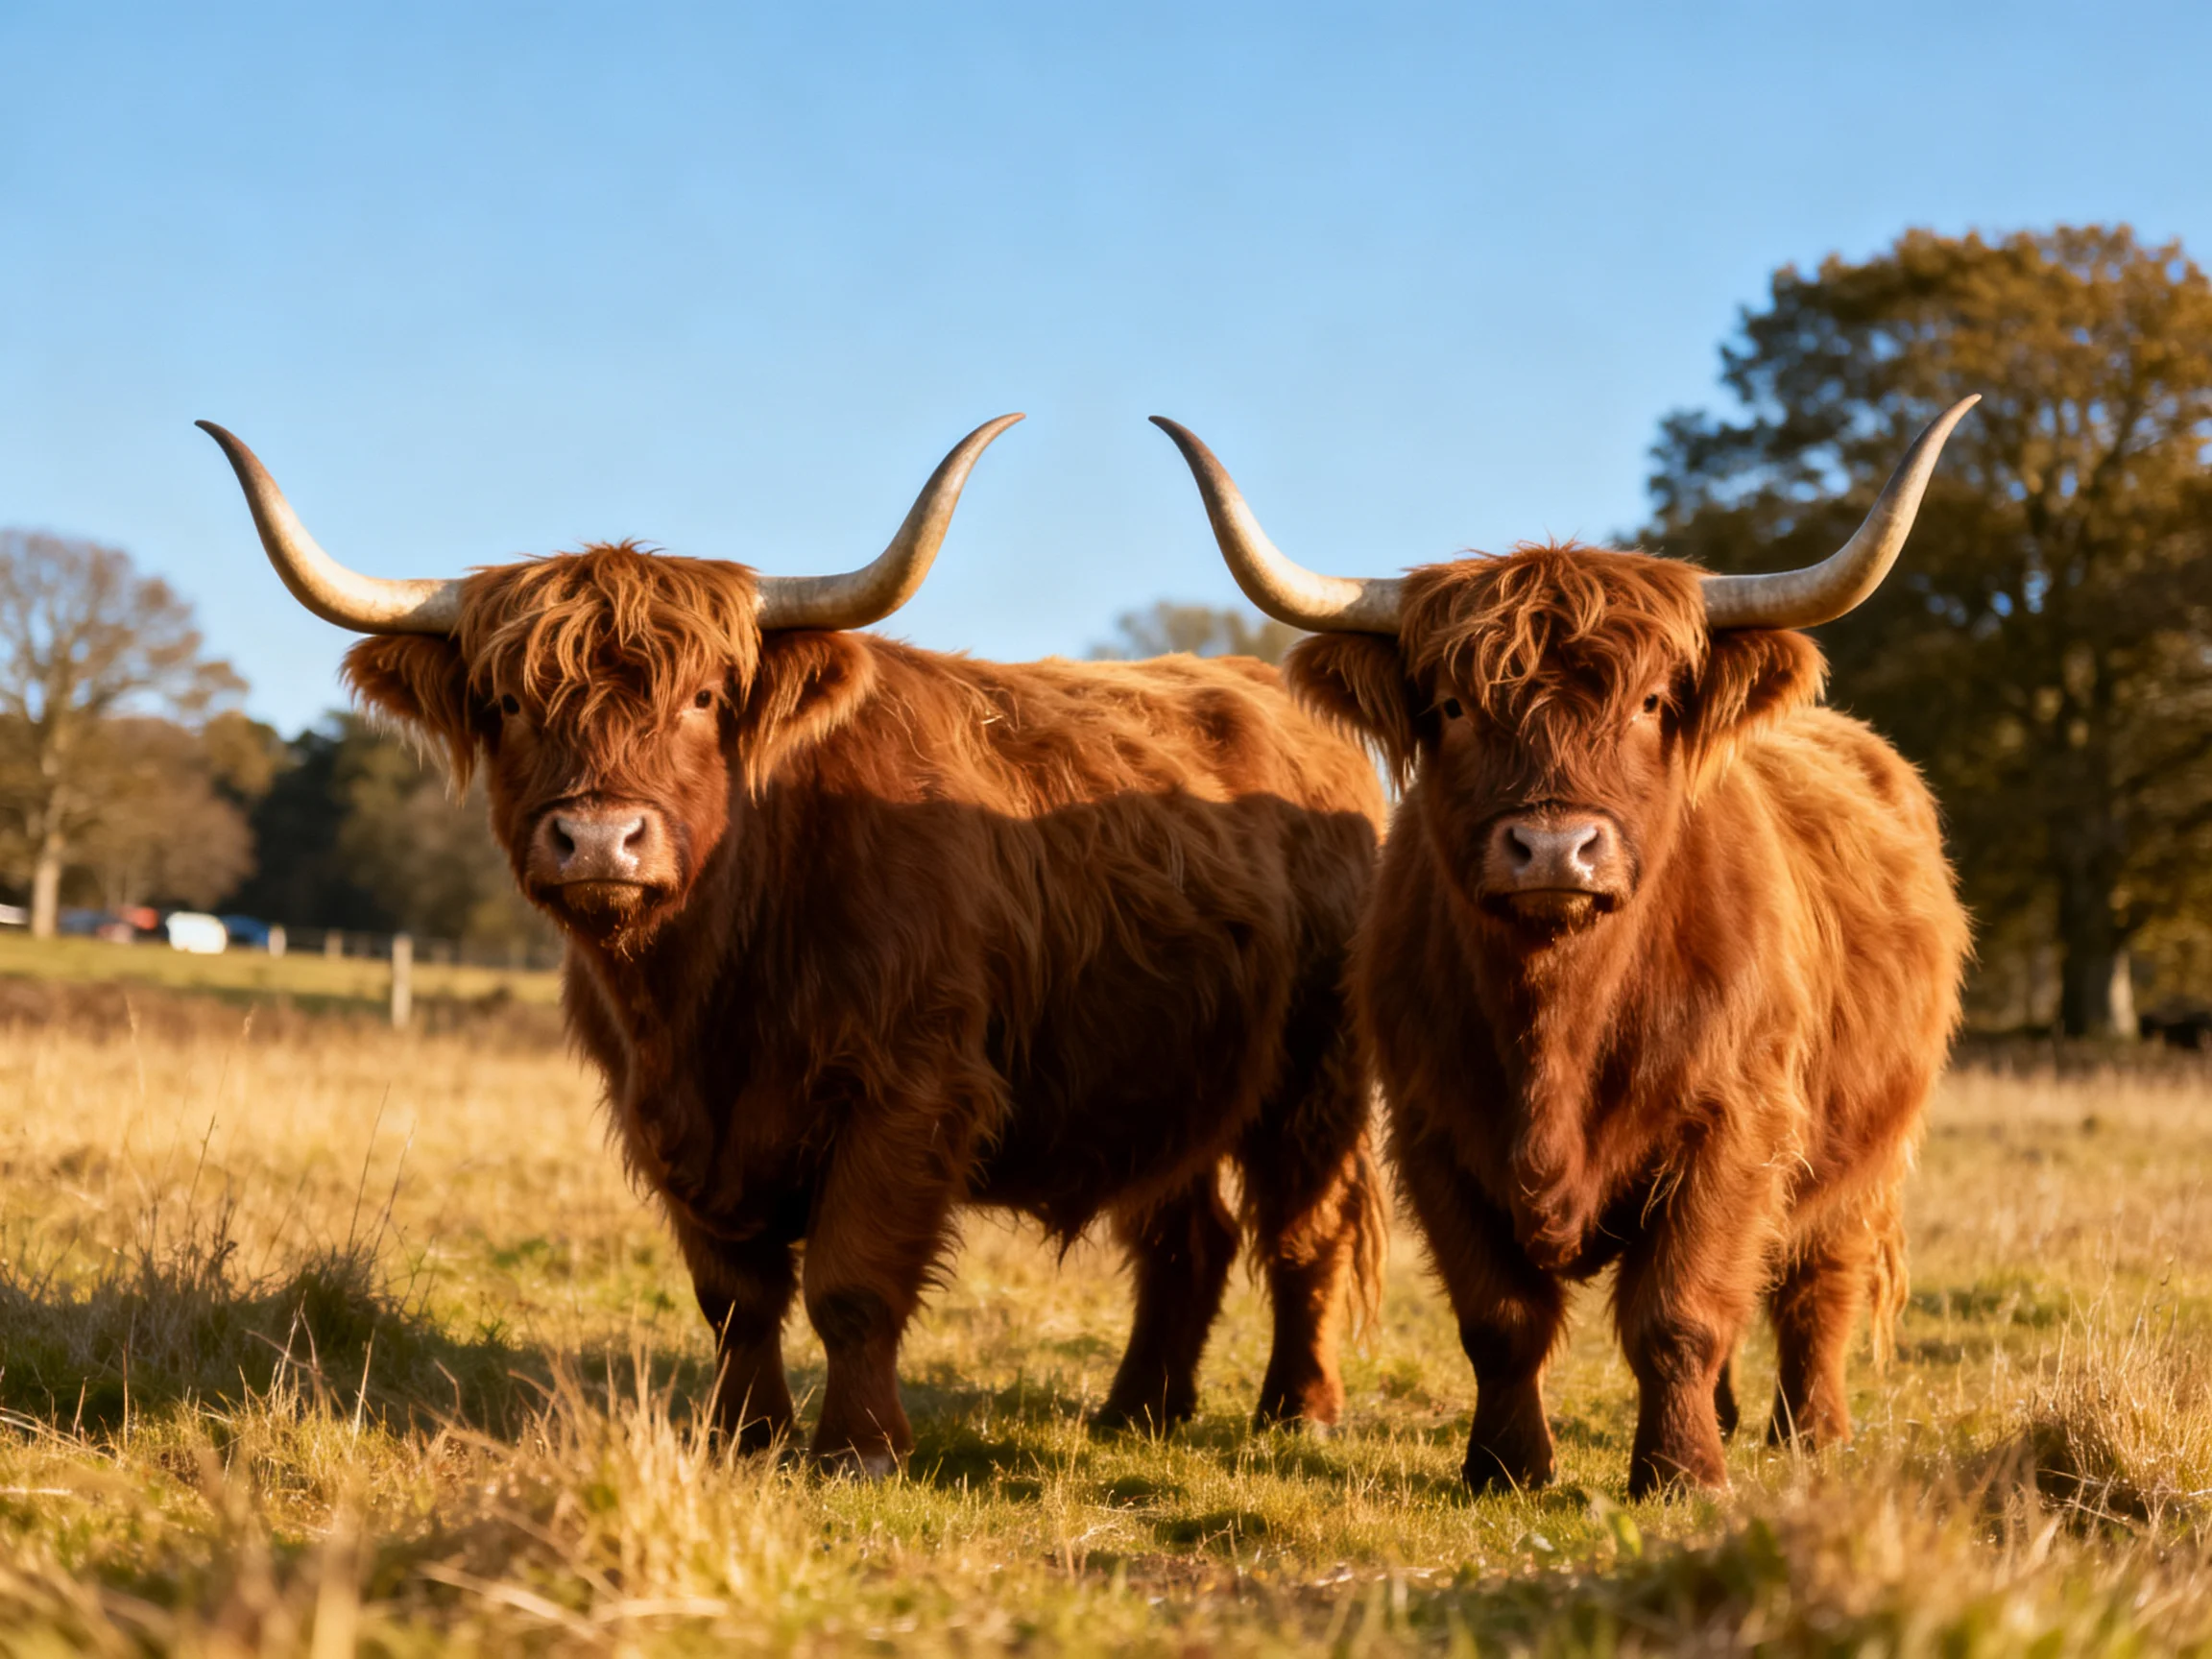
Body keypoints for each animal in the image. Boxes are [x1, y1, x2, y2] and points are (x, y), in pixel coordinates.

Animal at [200, 415, 1387, 1474]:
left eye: (704, 697)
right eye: (507, 703)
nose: (599, 837)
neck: (712, 984)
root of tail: (1271, 688)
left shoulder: (909, 1088)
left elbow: (851, 1284)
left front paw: (859, 1447)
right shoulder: (667, 1114)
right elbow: (734, 1297)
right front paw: (746, 1435)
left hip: (1314, 1075)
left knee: (1306, 1234)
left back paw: (1301, 1411)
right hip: (1165, 1078)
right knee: (1189, 1238)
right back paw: (1137, 1410)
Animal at [1153, 401, 1976, 1496]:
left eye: (1651, 703)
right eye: (1454, 707)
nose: (1553, 847)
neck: (1559, 1020)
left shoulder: (1735, 1124)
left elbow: (1679, 1312)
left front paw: (1681, 1472)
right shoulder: (1434, 1131)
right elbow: (1500, 1318)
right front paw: (1506, 1467)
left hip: (1866, 1149)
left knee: (1815, 1285)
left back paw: (1812, 1431)